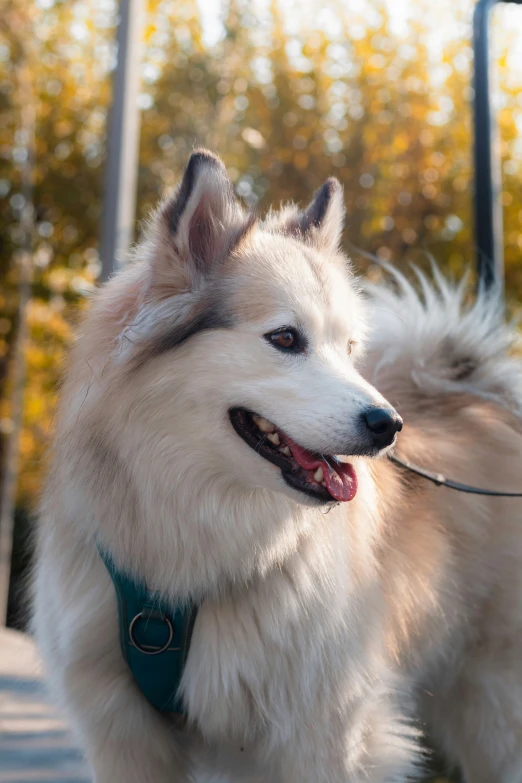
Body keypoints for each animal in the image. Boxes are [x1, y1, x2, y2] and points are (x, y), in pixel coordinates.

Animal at [33, 150, 522, 780]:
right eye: (286, 338)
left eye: (349, 349)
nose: (389, 425)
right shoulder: (121, 735)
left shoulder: (322, 735)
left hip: (494, 708)